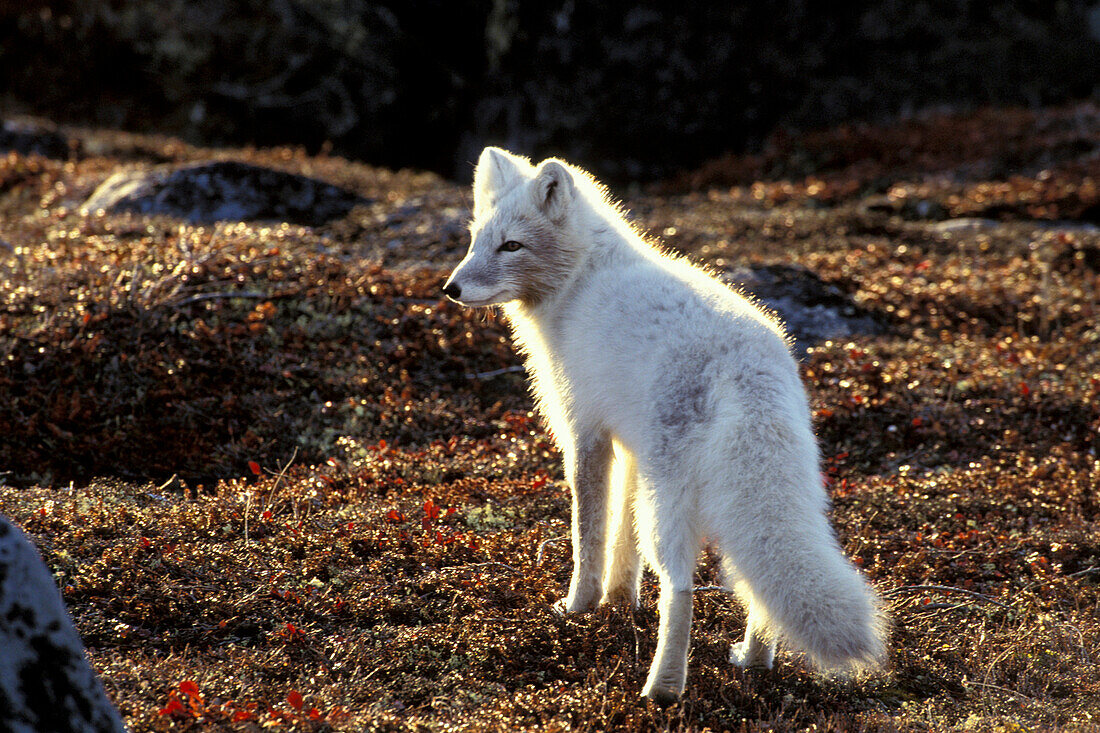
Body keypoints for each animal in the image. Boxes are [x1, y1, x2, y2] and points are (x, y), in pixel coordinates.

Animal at [442, 145, 888, 699]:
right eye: (475, 240)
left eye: (512, 246)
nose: (452, 288)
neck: (580, 281)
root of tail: (746, 369)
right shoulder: (630, 447)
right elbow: (621, 540)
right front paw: (618, 602)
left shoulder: (586, 433)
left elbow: (589, 533)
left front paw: (580, 606)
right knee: (755, 580)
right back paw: (753, 661)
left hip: (670, 501)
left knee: (681, 588)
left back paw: (663, 688)